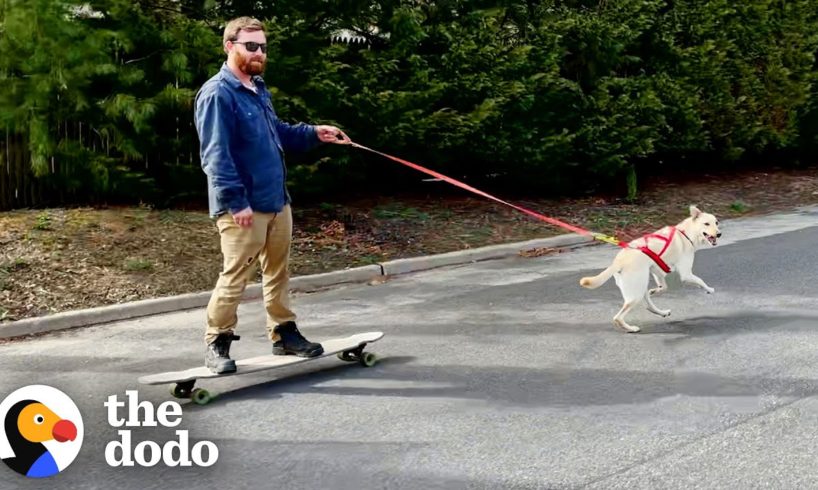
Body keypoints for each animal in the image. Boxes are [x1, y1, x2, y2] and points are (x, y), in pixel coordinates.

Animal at [576, 207, 716, 334]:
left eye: (716, 222)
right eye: (706, 224)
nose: (719, 234)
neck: (685, 234)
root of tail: (618, 262)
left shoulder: (657, 269)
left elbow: (663, 286)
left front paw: (655, 290)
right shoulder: (686, 274)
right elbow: (700, 281)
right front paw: (709, 289)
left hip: (640, 287)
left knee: (648, 304)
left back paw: (662, 312)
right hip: (636, 294)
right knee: (618, 317)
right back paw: (631, 329)